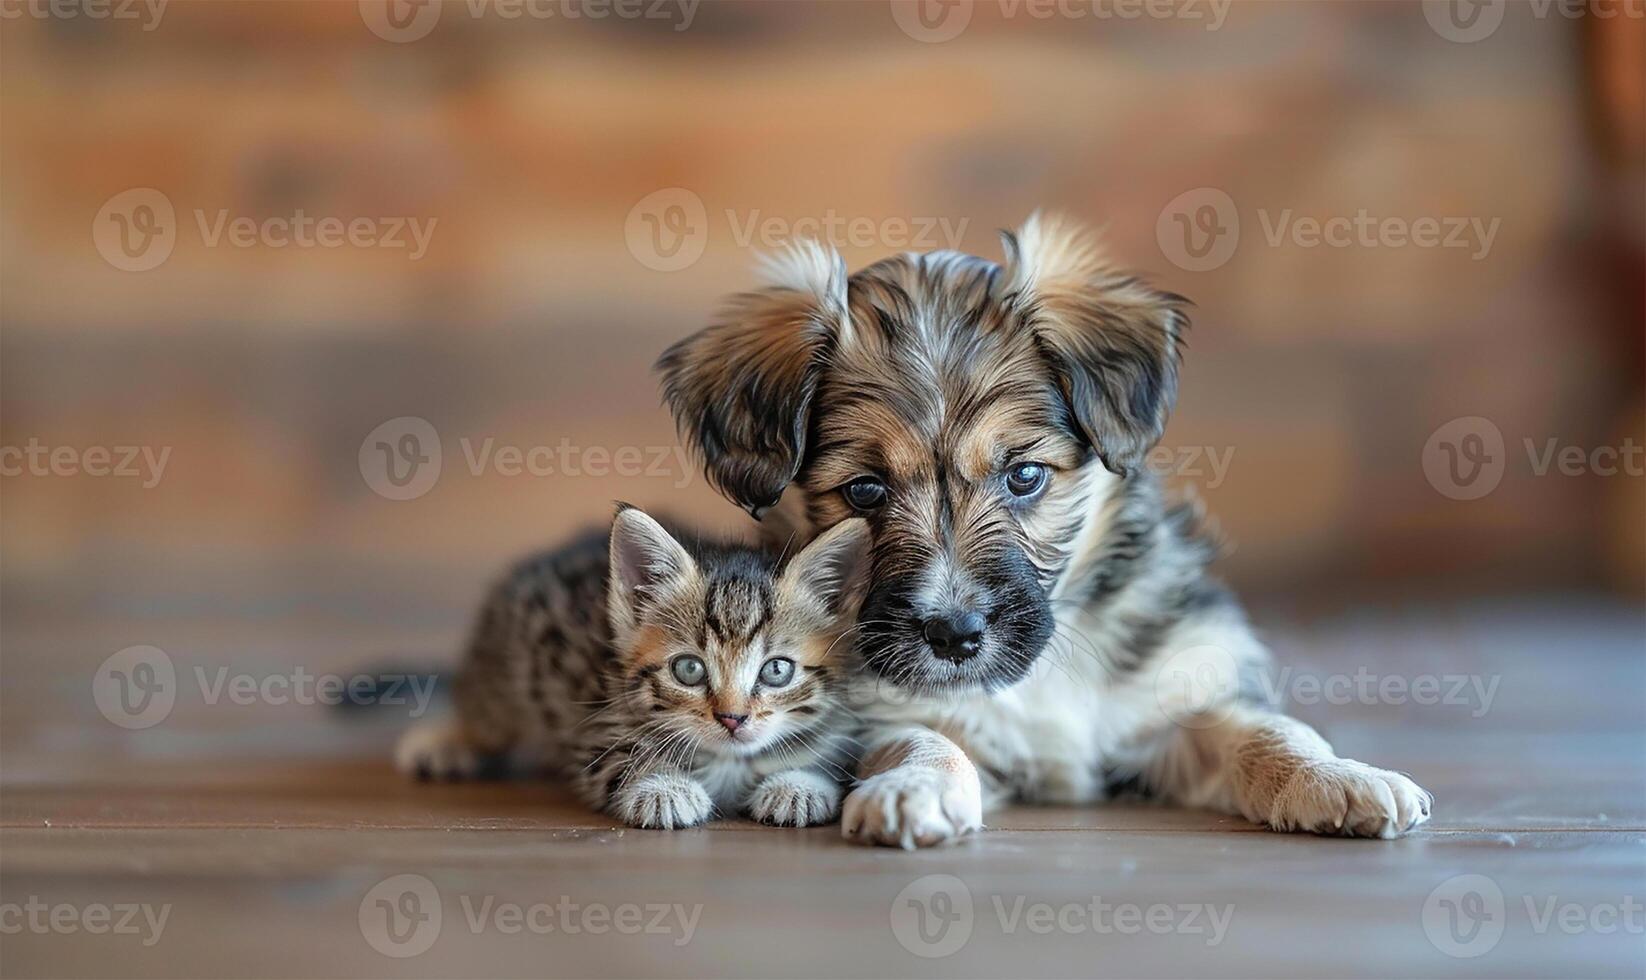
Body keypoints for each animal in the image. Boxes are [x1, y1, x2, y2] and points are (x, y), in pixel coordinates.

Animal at [395, 507, 875, 826]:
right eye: (689, 670)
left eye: (776, 671)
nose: (732, 718)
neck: (729, 761)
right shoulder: (595, 725)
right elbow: (620, 758)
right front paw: (662, 788)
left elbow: (831, 757)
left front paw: (800, 785)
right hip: (509, 652)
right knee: (487, 710)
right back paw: (446, 740)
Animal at [655, 219, 1428, 849]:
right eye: (865, 491)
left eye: (1024, 475)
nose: (955, 636)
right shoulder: (883, 712)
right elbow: (923, 742)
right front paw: (914, 790)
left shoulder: (1174, 703)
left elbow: (1269, 732)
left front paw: (1337, 777)